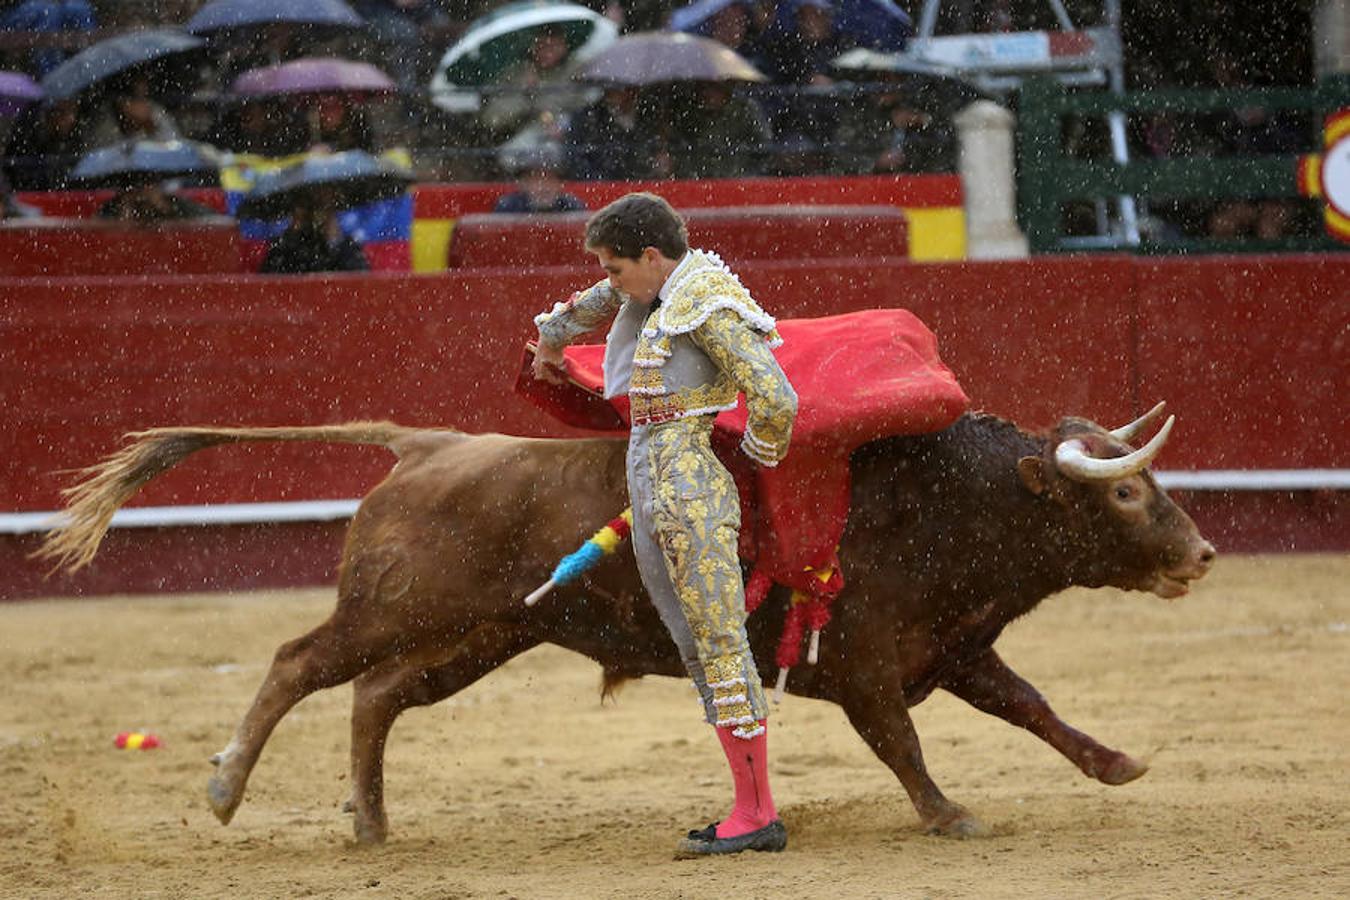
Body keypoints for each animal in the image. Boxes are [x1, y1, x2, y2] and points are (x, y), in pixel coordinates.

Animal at [42, 404, 1215, 841]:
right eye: (1124, 492)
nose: (1203, 554)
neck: (945, 502)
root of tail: (424, 445)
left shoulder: (956, 648)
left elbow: (1034, 708)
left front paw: (1118, 766)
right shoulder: (867, 666)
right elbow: (903, 743)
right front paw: (949, 815)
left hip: (478, 638)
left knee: (374, 698)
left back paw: (369, 822)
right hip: (397, 611)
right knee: (297, 662)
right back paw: (227, 787)